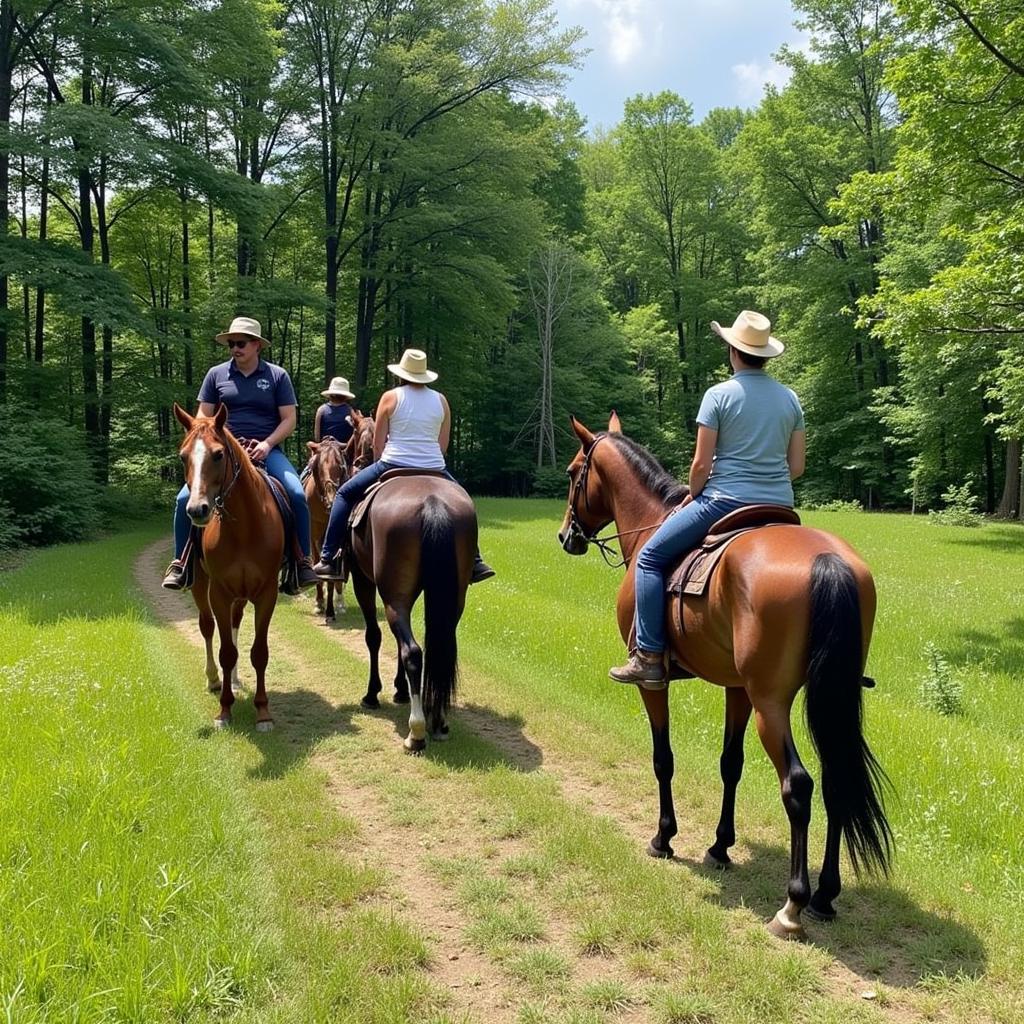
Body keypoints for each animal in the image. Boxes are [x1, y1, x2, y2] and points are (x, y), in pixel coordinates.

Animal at [173, 403, 282, 733]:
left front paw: (263, 712)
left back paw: (232, 679)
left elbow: (259, 652)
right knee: (207, 627)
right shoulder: (219, 592)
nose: (197, 510)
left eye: (218, 454)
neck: (243, 527)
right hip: (201, 585)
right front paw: (224, 710)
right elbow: (225, 651)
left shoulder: (266, 593)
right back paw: (214, 679)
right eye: (183, 456)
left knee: (234, 624)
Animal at [301, 436, 350, 618]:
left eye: (341, 467)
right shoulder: (314, 534)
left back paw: (340, 601)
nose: (332, 499)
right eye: (318, 467)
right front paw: (319, 602)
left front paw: (331, 608)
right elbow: (318, 562)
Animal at [348, 473, 475, 753]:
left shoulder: (361, 579)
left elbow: (373, 637)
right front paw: (400, 691)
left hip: (393, 598)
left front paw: (372, 694)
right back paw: (439, 722)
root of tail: (432, 502)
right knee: (442, 649)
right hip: (453, 600)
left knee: (413, 652)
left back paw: (416, 732)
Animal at [557, 411, 892, 937]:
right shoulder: (737, 689)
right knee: (835, 777)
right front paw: (719, 846)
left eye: (574, 473)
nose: (565, 536)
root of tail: (828, 561)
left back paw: (793, 906)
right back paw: (825, 895)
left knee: (799, 785)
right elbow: (729, 764)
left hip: (772, 705)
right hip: (827, 699)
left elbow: (663, 759)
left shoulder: (653, 683)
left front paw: (664, 838)